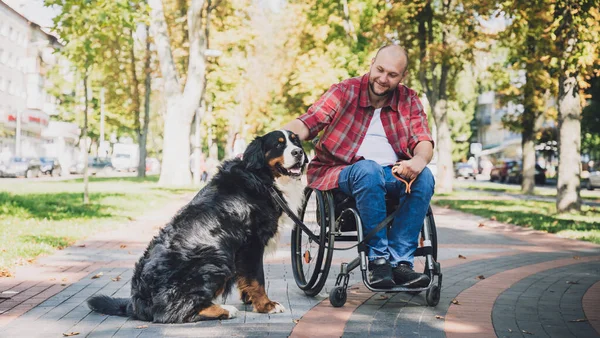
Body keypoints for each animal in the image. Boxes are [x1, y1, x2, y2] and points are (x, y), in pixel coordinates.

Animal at [89, 129, 310, 322]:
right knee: (172, 312)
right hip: (216, 259)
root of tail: (136, 302)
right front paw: (266, 305)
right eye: (278, 145)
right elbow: (257, 279)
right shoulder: (251, 244)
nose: (298, 152)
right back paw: (225, 310)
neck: (261, 177)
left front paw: (249, 298)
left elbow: (246, 279)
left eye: (296, 141)